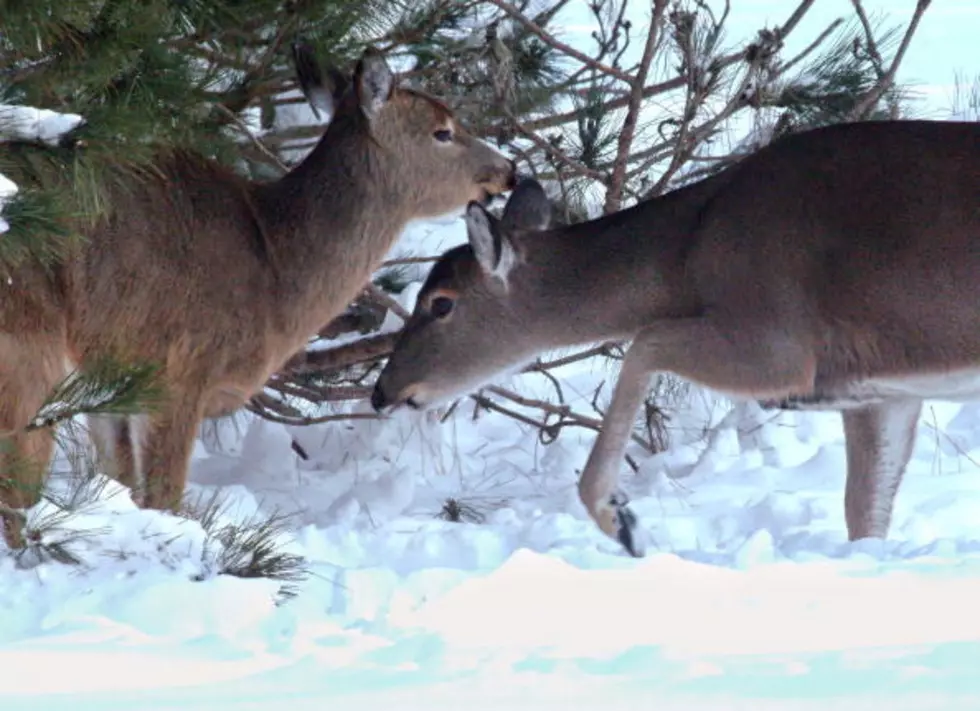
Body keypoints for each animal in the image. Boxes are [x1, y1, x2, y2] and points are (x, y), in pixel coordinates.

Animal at [0, 41, 516, 548]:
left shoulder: (110, 382)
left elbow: (121, 482)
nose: (508, 170)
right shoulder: (182, 369)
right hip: (27, 339)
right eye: (442, 131)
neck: (274, 265)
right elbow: (163, 498)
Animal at [370, 119, 980, 560]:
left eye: (441, 302)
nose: (383, 391)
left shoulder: (781, 341)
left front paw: (620, 520)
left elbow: (644, 344)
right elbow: (866, 511)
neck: (689, 255)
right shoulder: (880, 389)